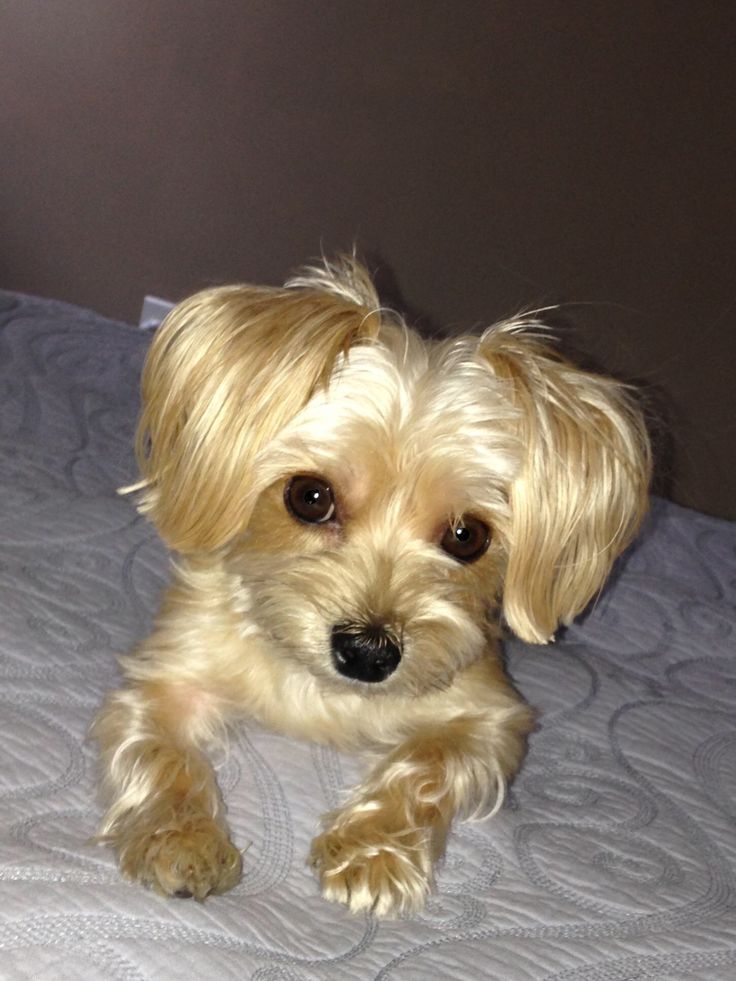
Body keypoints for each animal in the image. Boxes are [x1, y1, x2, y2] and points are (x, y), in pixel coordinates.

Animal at [92, 256, 648, 916]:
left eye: (467, 536)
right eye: (310, 497)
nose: (367, 653)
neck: (315, 689)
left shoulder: (489, 718)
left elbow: (425, 764)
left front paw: (372, 849)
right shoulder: (168, 676)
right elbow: (160, 752)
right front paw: (180, 837)